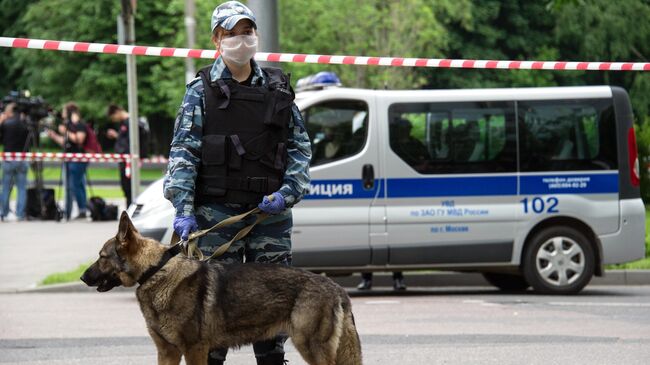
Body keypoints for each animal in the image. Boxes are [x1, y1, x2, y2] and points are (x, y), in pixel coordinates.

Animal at [81, 212, 362, 362]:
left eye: (102, 256)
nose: (83, 277)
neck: (156, 271)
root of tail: (336, 287)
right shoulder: (167, 352)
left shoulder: (194, 350)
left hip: (310, 347)